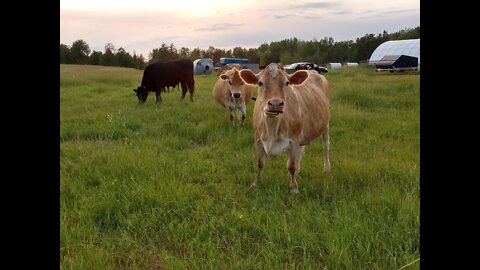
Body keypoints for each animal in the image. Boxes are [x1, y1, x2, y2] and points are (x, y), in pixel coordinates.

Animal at [240, 63, 330, 194]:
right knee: (301, 151)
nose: (276, 103)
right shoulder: (258, 140)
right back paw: (299, 170)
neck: (272, 128)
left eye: (287, 83)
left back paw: (327, 168)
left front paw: (294, 188)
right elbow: (260, 164)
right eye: (260, 83)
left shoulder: (293, 141)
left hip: (326, 125)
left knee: (326, 146)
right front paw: (256, 183)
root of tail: (313, 71)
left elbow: (291, 166)